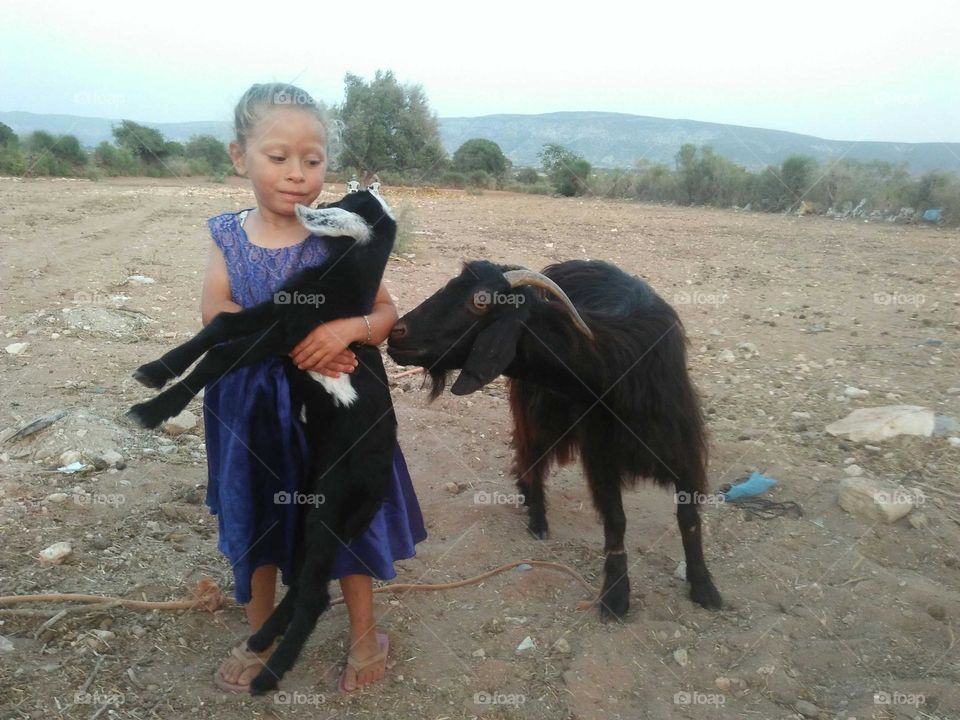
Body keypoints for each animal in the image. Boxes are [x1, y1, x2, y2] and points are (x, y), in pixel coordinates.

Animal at [386, 258, 724, 620]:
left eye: (480, 301)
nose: (396, 332)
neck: (615, 361)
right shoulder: (600, 454)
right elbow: (616, 520)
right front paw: (615, 596)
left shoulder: (683, 449)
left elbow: (688, 518)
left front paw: (704, 587)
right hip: (537, 410)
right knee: (530, 456)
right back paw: (537, 518)